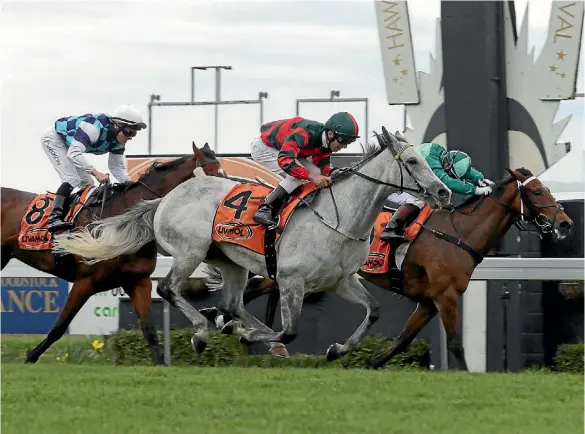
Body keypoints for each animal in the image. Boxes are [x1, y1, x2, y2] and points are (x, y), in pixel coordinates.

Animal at [0, 142, 224, 362]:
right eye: (213, 174)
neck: (122, 223)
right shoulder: (85, 282)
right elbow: (59, 327)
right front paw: (31, 356)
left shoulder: (138, 281)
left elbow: (150, 332)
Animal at [52, 128, 450, 360]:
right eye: (412, 160)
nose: (444, 192)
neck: (339, 218)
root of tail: (164, 198)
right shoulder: (291, 280)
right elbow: (290, 330)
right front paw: (247, 337)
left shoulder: (341, 280)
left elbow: (374, 310)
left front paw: (339, 349)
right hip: (190, 251)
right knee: (168, 289)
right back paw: (203, 331)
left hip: (231, 262)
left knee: (231, 304)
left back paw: (233, 327)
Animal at [209, 168, 572, 368]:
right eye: (537, 191)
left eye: (546, 188)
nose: (565, 223)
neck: (457, 233)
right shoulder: (445, 295)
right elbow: (455, 342)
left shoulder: (428, 301)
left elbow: (403, 340)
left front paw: (367, 361)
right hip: (296, 275)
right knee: (252, 290)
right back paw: (228, 324)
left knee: (252, 290)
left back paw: (231, 325)